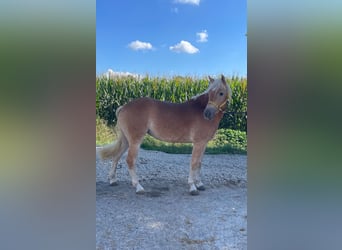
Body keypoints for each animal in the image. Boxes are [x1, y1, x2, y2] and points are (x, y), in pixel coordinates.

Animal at [98, 74, 232, 195]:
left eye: (221, 93)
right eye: (210, 94)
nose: (207, 114)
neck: (199, 109)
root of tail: (123, 107)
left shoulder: (203, 143)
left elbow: (199, 163)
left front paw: (199, 184)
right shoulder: (198, 143)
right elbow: (194, 163)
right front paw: (192, 187)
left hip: (126, 140)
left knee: (116, 157)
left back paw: (113, 180)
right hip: (135, 140)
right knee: (130, 160)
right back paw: (138, 187)